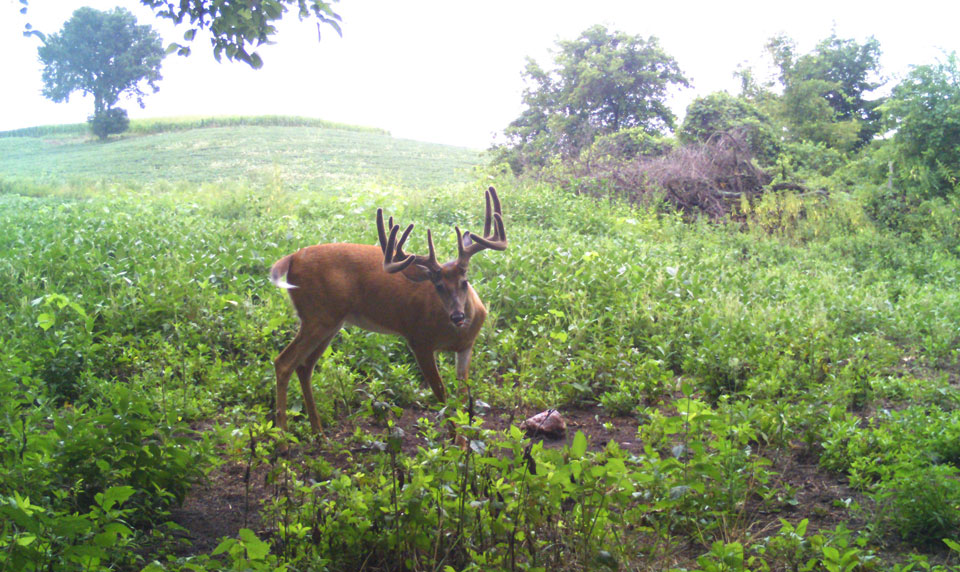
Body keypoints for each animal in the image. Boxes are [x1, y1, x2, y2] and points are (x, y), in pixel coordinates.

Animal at [268, 187, 506, 434]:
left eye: (465, 281)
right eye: (438, 286)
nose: (458, 316)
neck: (453, 333)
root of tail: (291, 258)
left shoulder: (466, 346)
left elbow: (461, 396)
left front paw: (464, 439)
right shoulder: (419, 341)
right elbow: (442, 395)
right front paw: (453, 440)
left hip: (330, 322)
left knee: (304, 366)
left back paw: (318, 433)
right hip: (317, 315)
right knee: (283, 362)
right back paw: (282, 434)